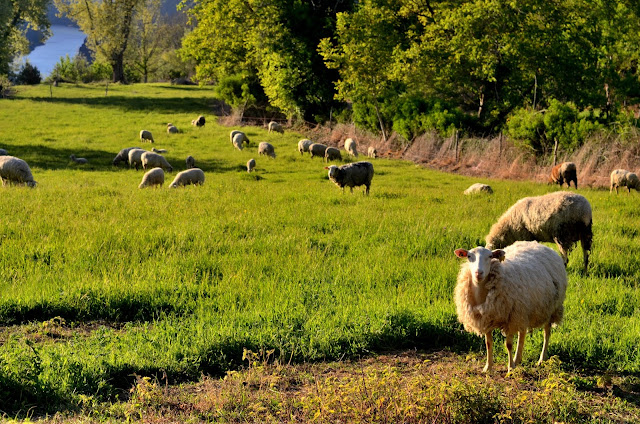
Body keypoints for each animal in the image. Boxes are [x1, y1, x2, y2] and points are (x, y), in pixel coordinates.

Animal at [452, 240, 568, 372]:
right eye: (469, 256)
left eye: (490, 256)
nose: (478, 273)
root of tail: (541, 245)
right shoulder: (486, 318)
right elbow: (488, 343)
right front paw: (488, 367)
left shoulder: (510, 319)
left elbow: (508, 345)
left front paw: (510, 368)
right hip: (523, 311)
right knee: (522, 333)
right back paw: (518, 359)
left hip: (551, 308)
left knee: (546, 333)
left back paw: (541, 359)